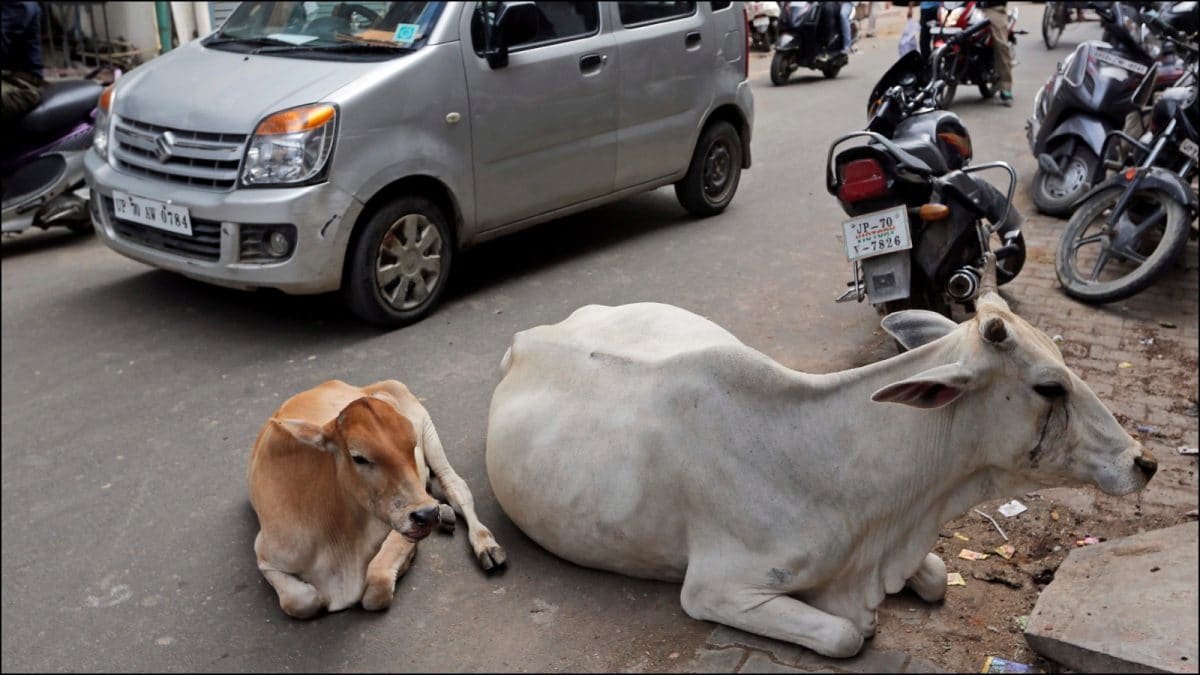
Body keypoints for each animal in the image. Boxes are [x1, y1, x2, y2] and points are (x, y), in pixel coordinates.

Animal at [249, 379, 505, 619]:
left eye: (412, 444)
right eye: (358, 457)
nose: (427, 515)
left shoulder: (397, 526)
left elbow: (376, 587)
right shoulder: (264, 556)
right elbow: (301, 601)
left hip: (427, 428)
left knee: (455, 487)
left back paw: (485, 544)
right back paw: (445, 514)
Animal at [485, 293, 1155, 657]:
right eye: (1049, 386)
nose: (1142, 461)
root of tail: (528, 336)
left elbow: (938, 577)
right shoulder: (715, 590)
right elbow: (847, 635)